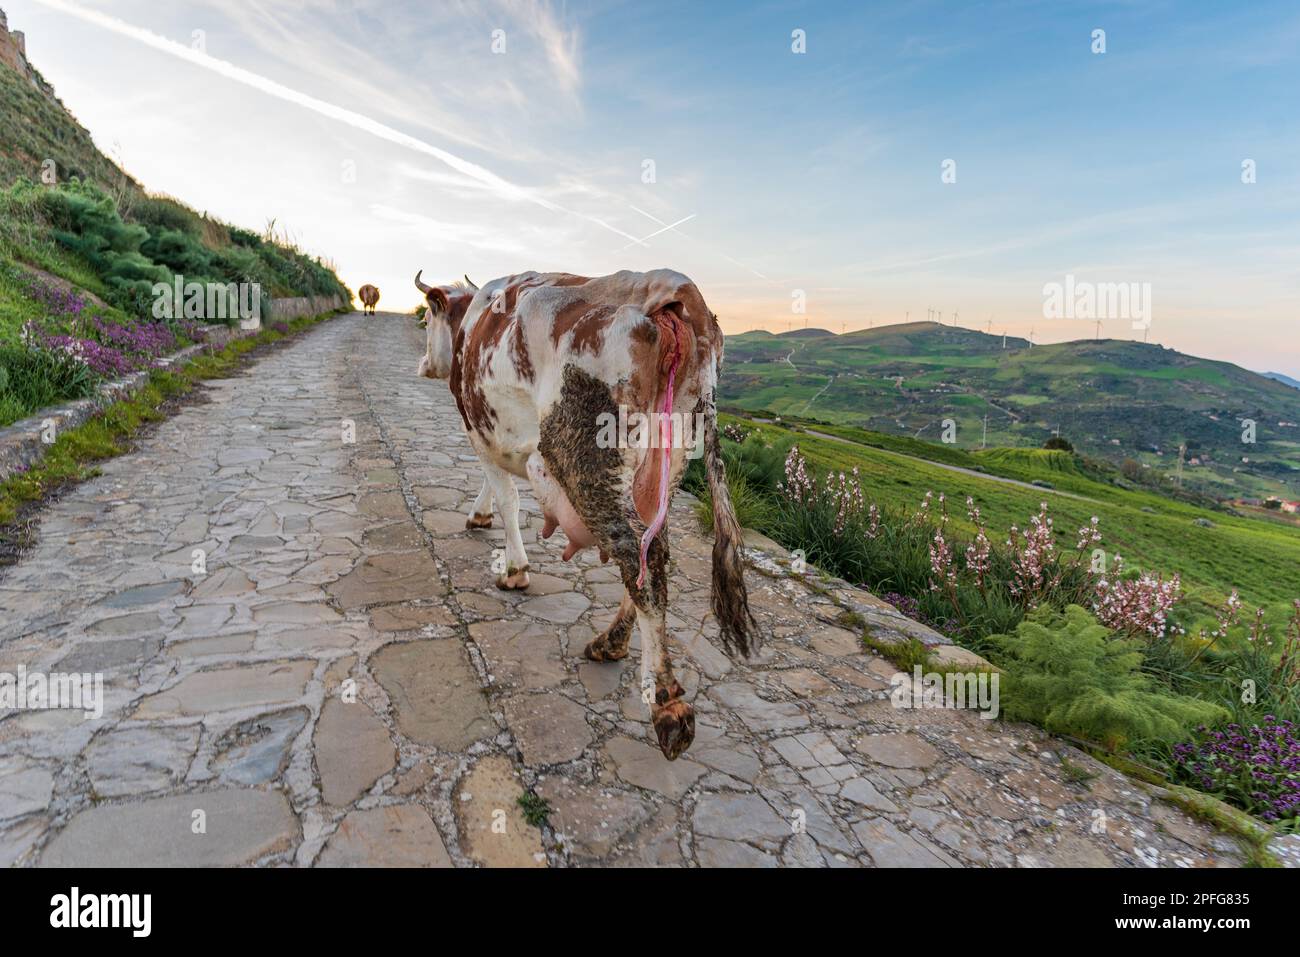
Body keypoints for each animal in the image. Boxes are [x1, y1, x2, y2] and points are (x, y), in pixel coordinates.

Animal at [416, 265, 759, 759]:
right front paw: (481, 517)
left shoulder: (477, 426)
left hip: (586, 458)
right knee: (650, 550)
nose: (424, 365)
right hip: (667, 460)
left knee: (636, 554)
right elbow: (494, 484)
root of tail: (672, 289)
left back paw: (668, 705)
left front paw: (514, 569)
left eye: (426, 319)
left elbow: (506, 494)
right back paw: (610, 643)